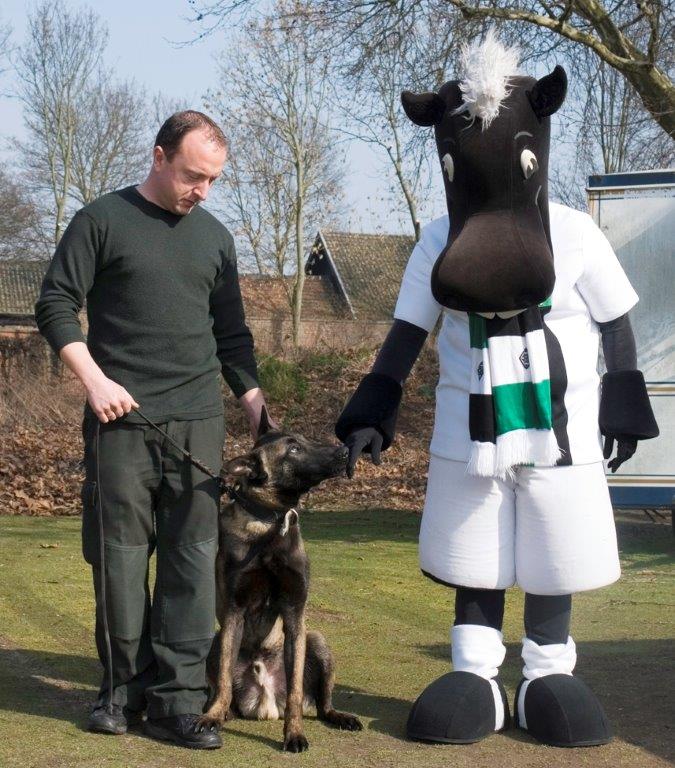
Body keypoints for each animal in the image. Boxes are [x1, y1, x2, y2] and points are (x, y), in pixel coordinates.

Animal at [198, 404, 362, 752]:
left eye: (303, 439)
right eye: (294, 449)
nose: (343, 451)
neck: (270, 522)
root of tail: (266, 699)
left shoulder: (295, 614)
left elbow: (298, 691)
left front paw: (295, 734)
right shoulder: (234, 612)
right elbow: (223, 681)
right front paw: (213, 717)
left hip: (317, 641)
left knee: (322, 703)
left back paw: (340, 716)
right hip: (217, 641)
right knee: (221, 687)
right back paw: (220, 712)